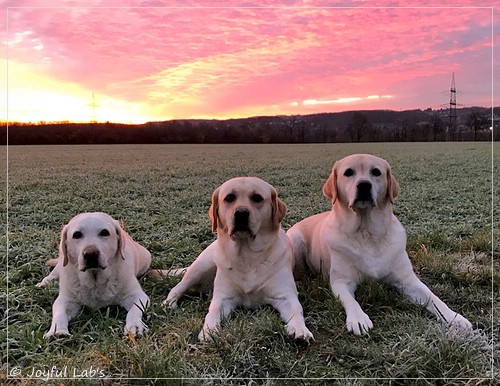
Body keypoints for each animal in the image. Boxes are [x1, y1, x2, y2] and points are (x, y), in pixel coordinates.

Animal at [163, 176, 312, 342]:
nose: (241, 213)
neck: (246, 254)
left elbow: (296, 310)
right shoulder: (223, 298)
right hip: (200, 266)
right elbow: (212, 311)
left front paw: (299, 329)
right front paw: (208, 330)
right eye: (229, 198)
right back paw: (169, 303)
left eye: (257, 198)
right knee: (178, 286)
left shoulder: (285, 296)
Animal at [288, 154, 470, 334]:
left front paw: (455, 317)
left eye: (376, 172)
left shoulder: (408, 280)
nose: (364, 185)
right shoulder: (341, 282)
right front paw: (358, 319)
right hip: (295, 240)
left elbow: (434, 298)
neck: (367, 233)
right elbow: (351, 301)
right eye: (348, 172)